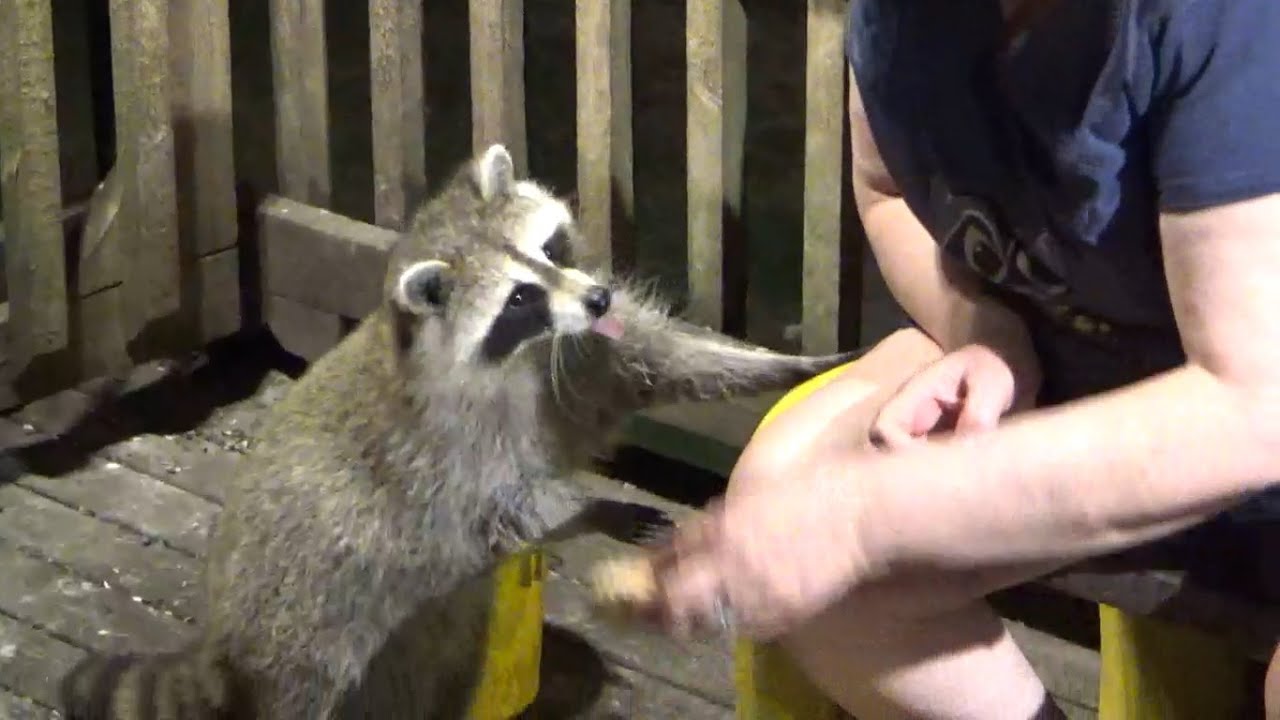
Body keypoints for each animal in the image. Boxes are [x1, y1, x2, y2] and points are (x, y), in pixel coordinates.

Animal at [59, 143, 858, 719]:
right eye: (520, 299)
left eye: (551, 250)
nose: (600, 296)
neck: (524, 354)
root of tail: (221, 640)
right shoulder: (448, 455)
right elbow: (501, 507)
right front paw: (590, 507)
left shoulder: (577, 359)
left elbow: (656, 361)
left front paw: (780, 366)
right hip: (308, 635)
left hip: (427, 635)